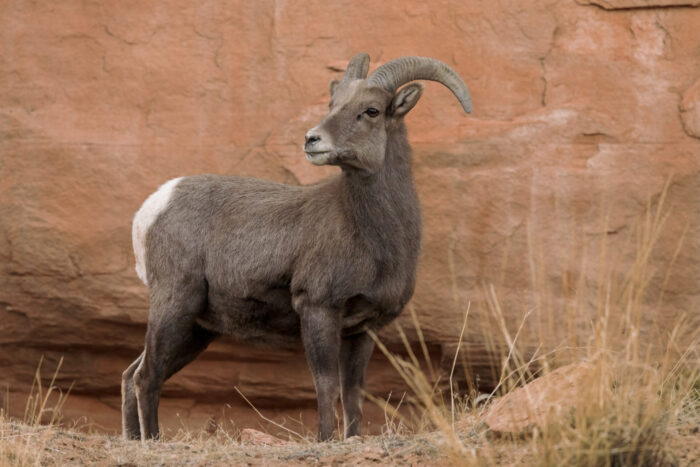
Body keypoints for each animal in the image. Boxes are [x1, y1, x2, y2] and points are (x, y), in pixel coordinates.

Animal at [121, 54, 470, 442]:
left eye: (372, 110)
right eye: (333, 103)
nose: (312, 140)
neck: (373, 236)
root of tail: (153, 207)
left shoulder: (362, 330)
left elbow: (353, 393)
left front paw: (350, 438)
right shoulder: (318, 309)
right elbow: (326, 386)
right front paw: (325, 440)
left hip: (198, 327)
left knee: (131, 375)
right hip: (175, 304)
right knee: (146, 377)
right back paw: (152, 440)